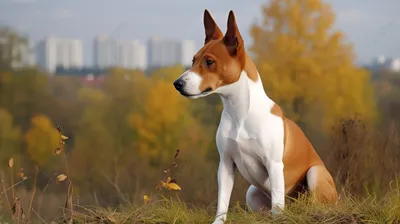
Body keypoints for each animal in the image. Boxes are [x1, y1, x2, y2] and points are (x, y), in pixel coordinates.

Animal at [172, 9, 338, 223]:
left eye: (209, 62)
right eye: (193, 61)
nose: (177, 84)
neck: (240, 113)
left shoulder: (274, 165)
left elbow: (277, 204)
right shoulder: (226, 164)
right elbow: (222, 201)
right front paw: (218, 221)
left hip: (314, 173)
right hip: (251, 193)